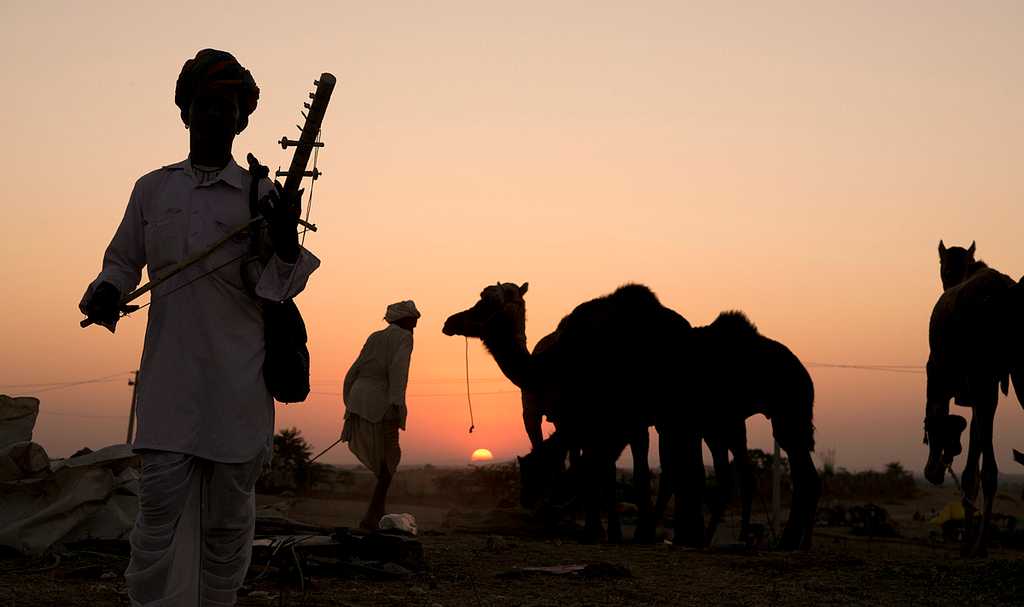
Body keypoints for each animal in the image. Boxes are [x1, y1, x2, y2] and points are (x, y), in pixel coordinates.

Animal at [440, 282, 696, 540]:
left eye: (485, 301)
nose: (450, 322)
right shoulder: (586, 420)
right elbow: (595, 469)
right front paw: (600, 530)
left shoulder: (611, 417)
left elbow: (605, 470)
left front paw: (599, 531)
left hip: (668, 411)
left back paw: (652, 532)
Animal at [925, 240, 1019, 552]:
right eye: (944, 267)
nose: (948, 282)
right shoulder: (986, 388)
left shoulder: (938, 374)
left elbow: (936, 418)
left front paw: (934, 468)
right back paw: (979, 539)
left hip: (979, 375)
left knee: (988, 466)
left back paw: (978, 542)